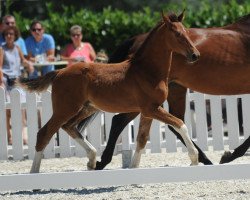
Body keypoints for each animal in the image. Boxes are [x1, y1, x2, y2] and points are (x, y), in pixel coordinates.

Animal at [18, 11, 199, 173]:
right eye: (177, 34)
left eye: (187, 32)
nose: (195, 55)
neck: (147, 71)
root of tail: (59, 72)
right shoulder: (151, 109)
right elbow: (180, 124)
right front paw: (194, 158)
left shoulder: (147, 111)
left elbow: (141, 139)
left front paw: (133, 167)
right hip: (65, 109)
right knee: (44, 133)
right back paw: (34, 172)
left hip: (87, 107)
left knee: (68, 126)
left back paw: (92, 159)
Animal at [77, 12, 250, 170]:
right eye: (177, 34)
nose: (195, 55)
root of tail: (136, 39)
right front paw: (229, 155)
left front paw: (229, 155)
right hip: (148, 102)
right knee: (122, 121)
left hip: (171, 91)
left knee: (169, 123)